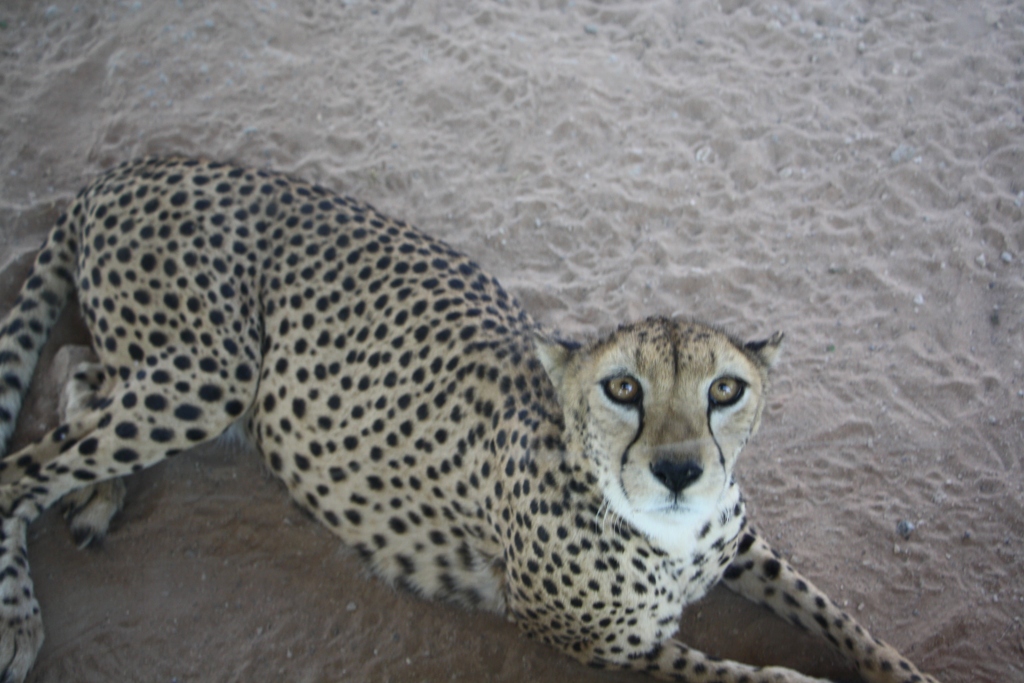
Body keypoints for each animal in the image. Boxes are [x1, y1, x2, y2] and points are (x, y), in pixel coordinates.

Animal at [0, 157, 937, 679]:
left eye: (726, 391)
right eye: (623, 388)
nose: (679, 469)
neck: (663, 530)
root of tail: (132, 168)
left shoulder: (736, 545)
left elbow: (838, 614)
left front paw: (904, 670)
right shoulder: (597, 642)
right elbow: (740, 672)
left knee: (74, 370)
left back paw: (97, 497)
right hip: (213, 370)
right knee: (22, 466)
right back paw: (22, 615)